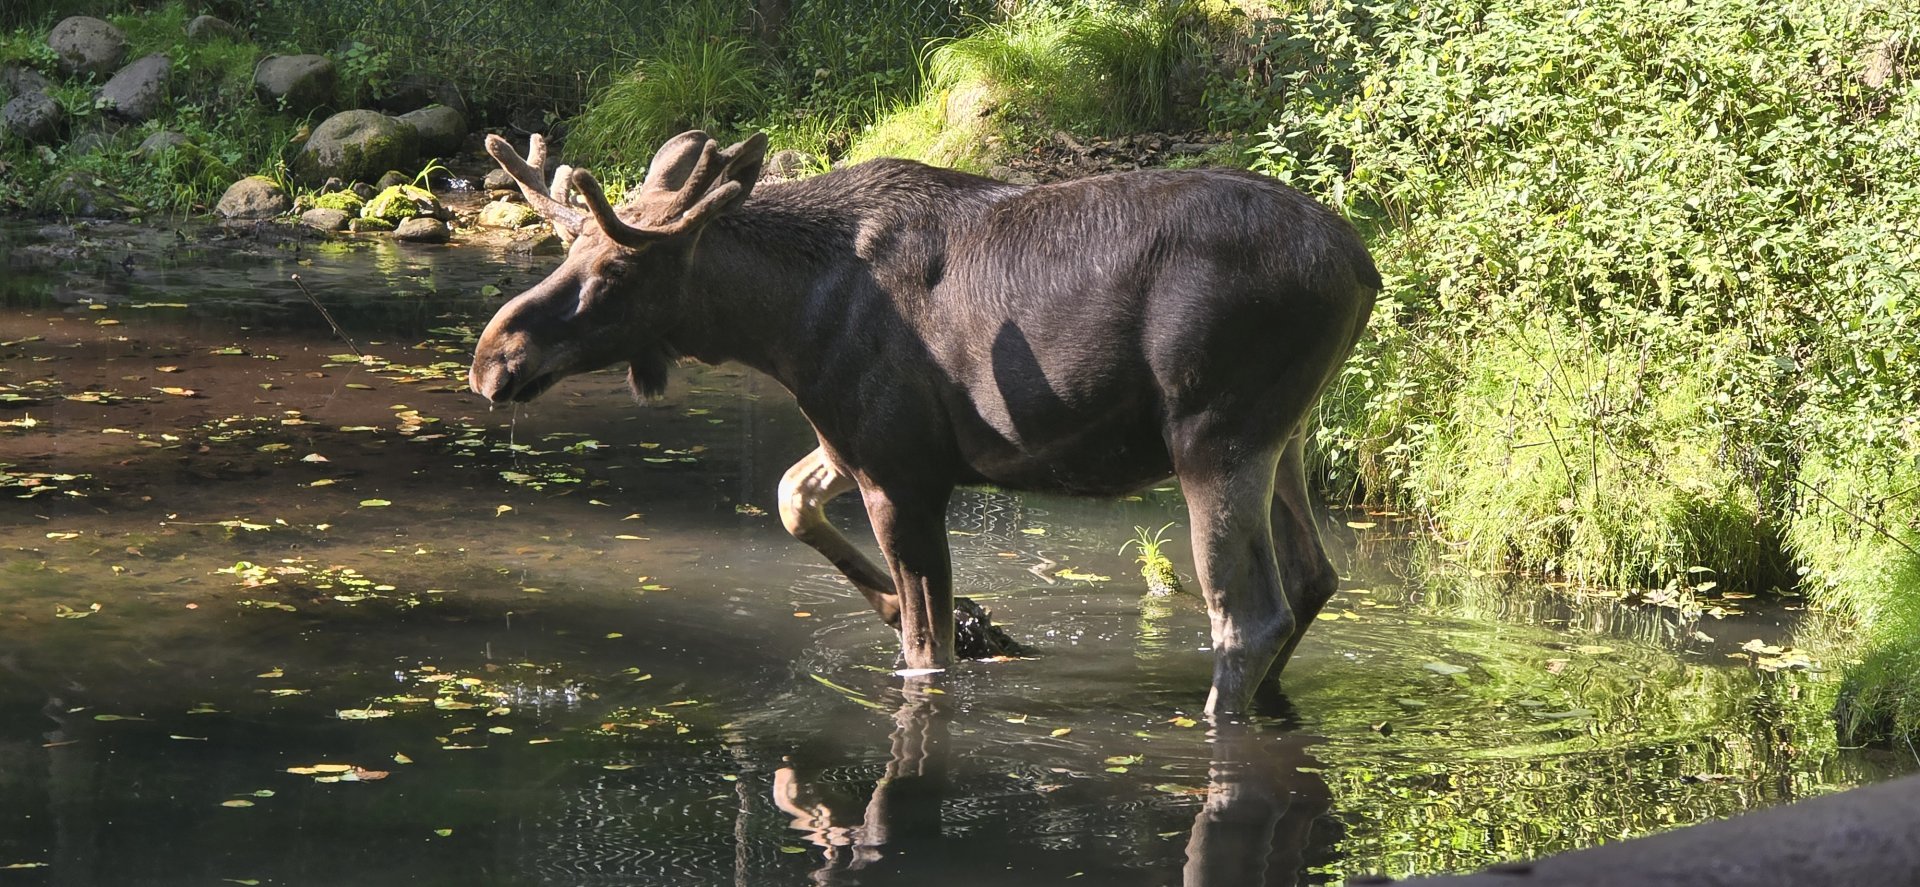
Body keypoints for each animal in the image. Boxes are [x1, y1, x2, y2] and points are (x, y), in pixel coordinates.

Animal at [468, 130, 1380, 719]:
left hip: (1214, 436)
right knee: (1313, 578)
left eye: (618, 268)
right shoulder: (859, 443)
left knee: (1247, 614)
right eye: (566, 248)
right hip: (1286, 437)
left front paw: (958, 633)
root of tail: (1365, 268)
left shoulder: (899, 471)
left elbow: (921, 647)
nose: (492, 358)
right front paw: (984, 624)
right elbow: (791, 499)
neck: (778, 325)